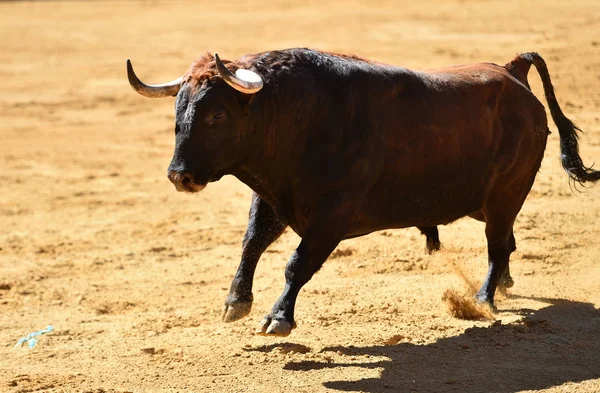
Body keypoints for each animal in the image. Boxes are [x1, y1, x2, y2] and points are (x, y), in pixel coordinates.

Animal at [126, 49, 600, 336]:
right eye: (179, 111)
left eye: (218, 115)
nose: (179, 175)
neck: (298, 115)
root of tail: (512, 71)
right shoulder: (274, 199)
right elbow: (251, 244)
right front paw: (234, 302)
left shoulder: (332, 216)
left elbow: (297, 264)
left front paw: (278, 318)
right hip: (496, 203)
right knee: (507, 244)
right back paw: (502, 286)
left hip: (505, 195)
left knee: (498, 245)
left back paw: (483, 300)